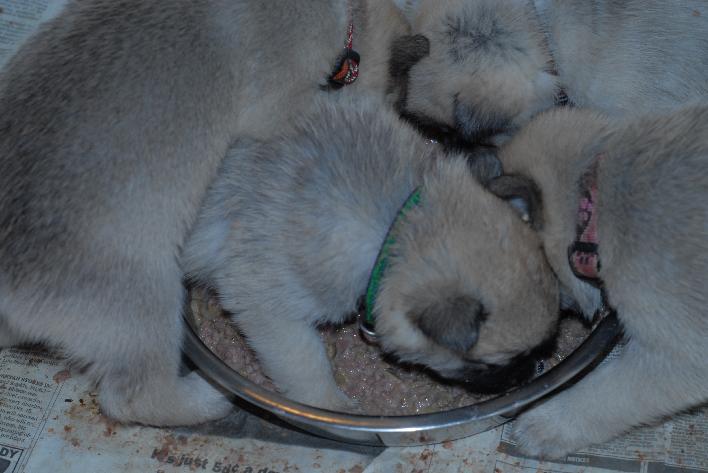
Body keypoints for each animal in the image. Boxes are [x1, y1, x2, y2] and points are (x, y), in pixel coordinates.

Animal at [181, 97, 560, 410]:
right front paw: (331, 404)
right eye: (489, 364)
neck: (398, 223)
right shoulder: (269, 309)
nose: (537, 367)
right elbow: (306, 363)